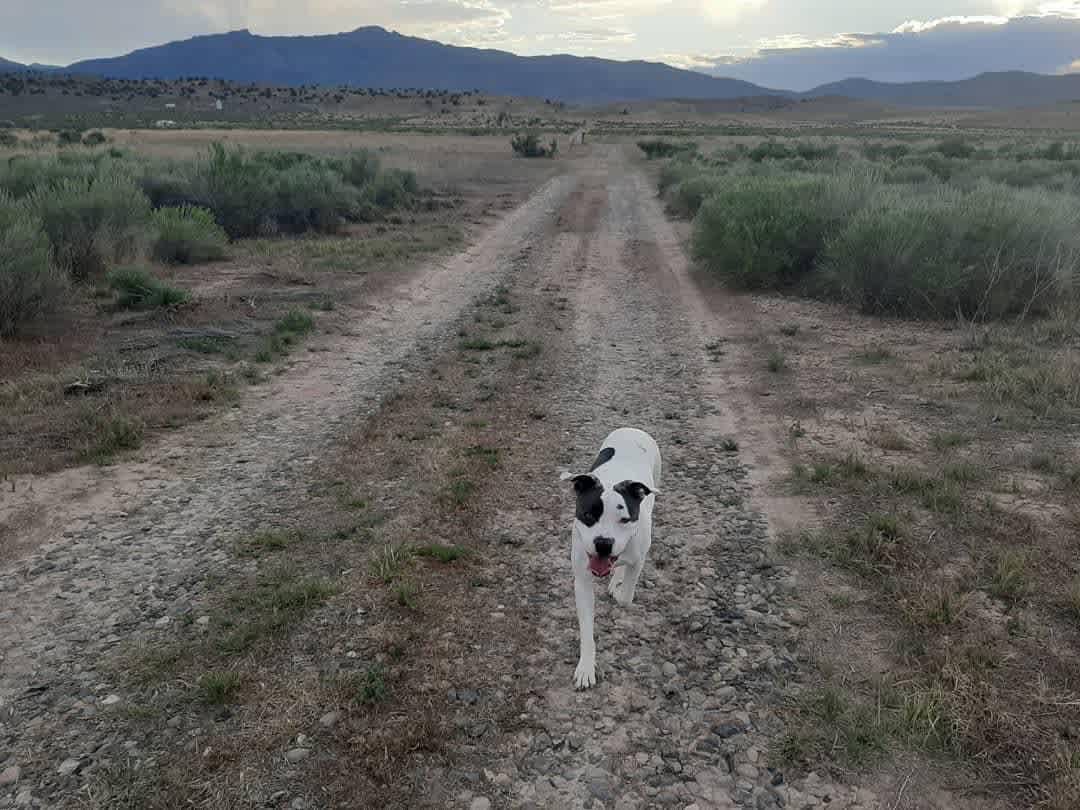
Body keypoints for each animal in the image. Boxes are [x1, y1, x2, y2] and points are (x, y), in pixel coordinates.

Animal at [565, 427, 656, 686]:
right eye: (588, 515)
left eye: (625, 520)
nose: (604, 543)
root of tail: (632, 428)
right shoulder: (582, 581)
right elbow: (586, 628)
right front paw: (586, 667)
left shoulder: (637, 559)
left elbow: (626, 596)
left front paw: (619, 587)